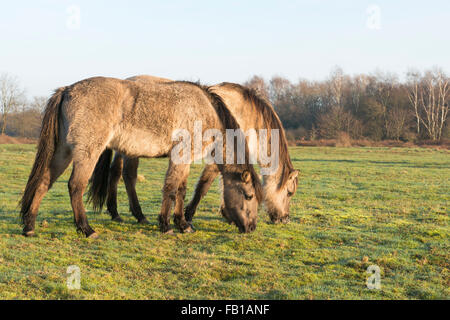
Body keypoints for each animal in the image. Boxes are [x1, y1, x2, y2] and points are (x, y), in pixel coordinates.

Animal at [19, 75, 262, 238]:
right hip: (87, 152)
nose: (251, 227)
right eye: (249, 196)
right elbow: (171, 189)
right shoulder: (181, 155)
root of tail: (67, 89)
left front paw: (183, 224)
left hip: (64, 152)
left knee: (44, 182)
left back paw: (29, 226)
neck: (204, 111)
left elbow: (181, 190)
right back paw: (86, 229)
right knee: (75, 186)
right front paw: (167, 225)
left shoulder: (184, 160)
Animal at [89, 75, 298, 228]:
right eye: (289, 193)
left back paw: (117, 212)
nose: (284, 219)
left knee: (116, 173)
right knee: (128, 176)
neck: (243, 112)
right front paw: (187, 216)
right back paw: (136, 215)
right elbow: (203, 186)